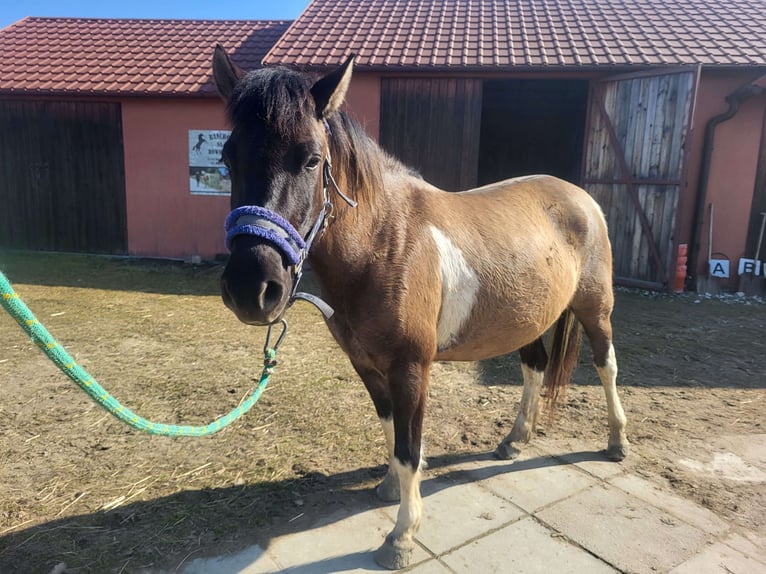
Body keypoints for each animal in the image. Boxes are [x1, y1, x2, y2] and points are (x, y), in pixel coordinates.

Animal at [212, 46, 632, 572]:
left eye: (311, 159)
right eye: (228, 158)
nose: (252, 288)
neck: (383, 244)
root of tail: (579, 197)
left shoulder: (412, 367)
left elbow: (411, 445)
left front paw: (401, 537)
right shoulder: (368, 365)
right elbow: (391, 429)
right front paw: (389, 489)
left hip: (596, 308)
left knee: (606, 365)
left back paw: (617, 442)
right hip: (530, 317)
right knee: (535, 367)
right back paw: (516, 439)